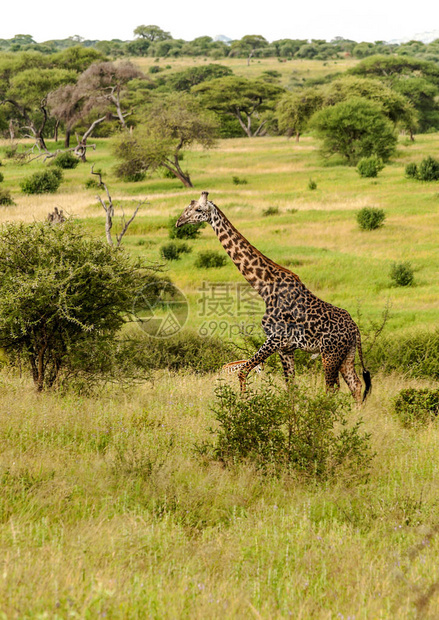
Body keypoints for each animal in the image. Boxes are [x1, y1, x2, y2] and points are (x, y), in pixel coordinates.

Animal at [175, 191, 372, 404]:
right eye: (187, 208)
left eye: (198, 209)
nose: (179, 222)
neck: (264, 287)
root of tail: (355, 329)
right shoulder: (286, 348)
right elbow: (291, 387)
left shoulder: (275, 338)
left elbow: (243, 371)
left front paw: (243, 403)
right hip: (347, 355)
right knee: (356, 384)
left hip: (330, 353)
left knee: (333, 388)